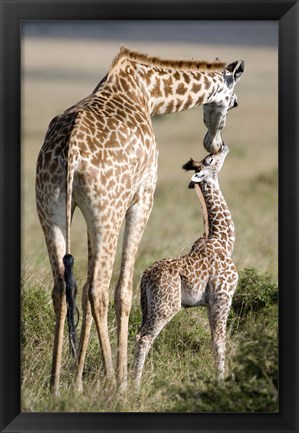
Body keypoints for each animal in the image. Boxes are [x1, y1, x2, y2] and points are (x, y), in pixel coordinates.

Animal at [134, 144, 239, 388]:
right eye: (210, 159)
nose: (224, 146)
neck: (224, 240)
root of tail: (145, 276)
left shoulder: (210, 303)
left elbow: (213, 339)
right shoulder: (223, 296)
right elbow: (220, 341)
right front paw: (221, 382)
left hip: (147, 305)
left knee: (136, 334)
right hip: (166, 306)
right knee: (144, 338)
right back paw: (132, 386)